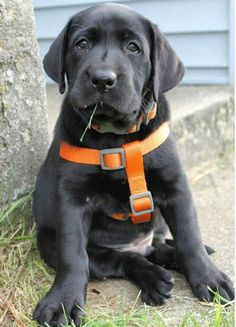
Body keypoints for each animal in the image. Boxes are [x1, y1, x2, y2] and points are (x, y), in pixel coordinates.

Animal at [32, 3, 233, 327]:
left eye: (133, 48)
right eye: (81, 44)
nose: (103, 79)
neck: (117, 139)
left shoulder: (176, 186)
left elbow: (189, 236)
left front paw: (209, 278)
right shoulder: (71, 197)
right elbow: (73, 256)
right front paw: (62, 301)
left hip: (158, 223)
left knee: (159, 246)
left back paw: (174, 258)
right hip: (48, 240)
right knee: (122, 259)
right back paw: (154, 279)